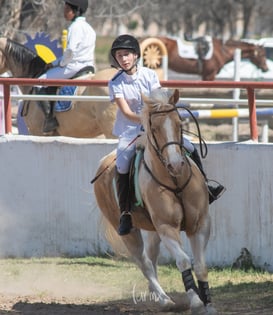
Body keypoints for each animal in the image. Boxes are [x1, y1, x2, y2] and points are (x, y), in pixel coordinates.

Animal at [93, 89, 215, 315]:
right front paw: (195, 301)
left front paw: (208, 303)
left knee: (151, 257)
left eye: (178, 123)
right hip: (129, 232)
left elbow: (201, 265)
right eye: (155, 128)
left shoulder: (200, 224)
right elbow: (183, 260)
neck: (175, 181)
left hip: (152, 231)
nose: (176, 165)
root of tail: (104, 162)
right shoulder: (167, 227)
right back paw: (164, 300)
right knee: (145, 263)